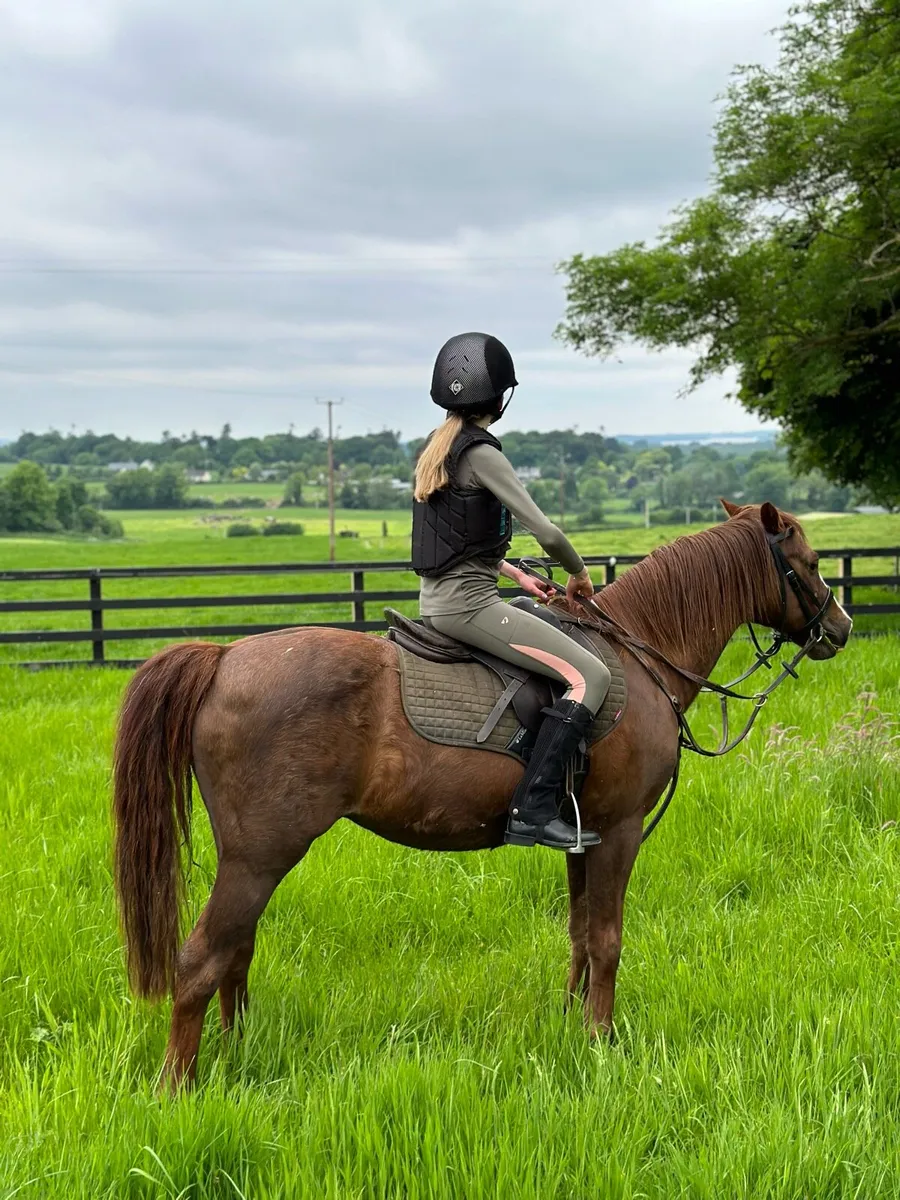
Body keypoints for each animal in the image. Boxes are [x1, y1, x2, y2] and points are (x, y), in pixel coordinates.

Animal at [112, 500, 852, 1089]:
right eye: (812, 562)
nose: (839, 628)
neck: (639, 654)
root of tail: (225, 657)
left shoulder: (579, 834)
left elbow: (579, 935)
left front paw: (569, 1025)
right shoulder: (618, 831)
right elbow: (608, 938)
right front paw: (601, 1042)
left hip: (251, 860)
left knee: (235, 951)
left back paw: (237, 1051)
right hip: (260, 856)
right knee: (202, 959)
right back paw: (179, 1086)